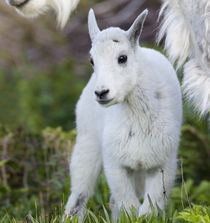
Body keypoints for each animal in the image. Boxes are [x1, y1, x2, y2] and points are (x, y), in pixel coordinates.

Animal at [64, 8, 182, 221]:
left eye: (122, 58)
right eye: (92, 60)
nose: (101, 93)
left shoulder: (162, 164)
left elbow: (148, 211)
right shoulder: (115, 164)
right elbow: (130, 208)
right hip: (87, 141)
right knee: (79, 196)